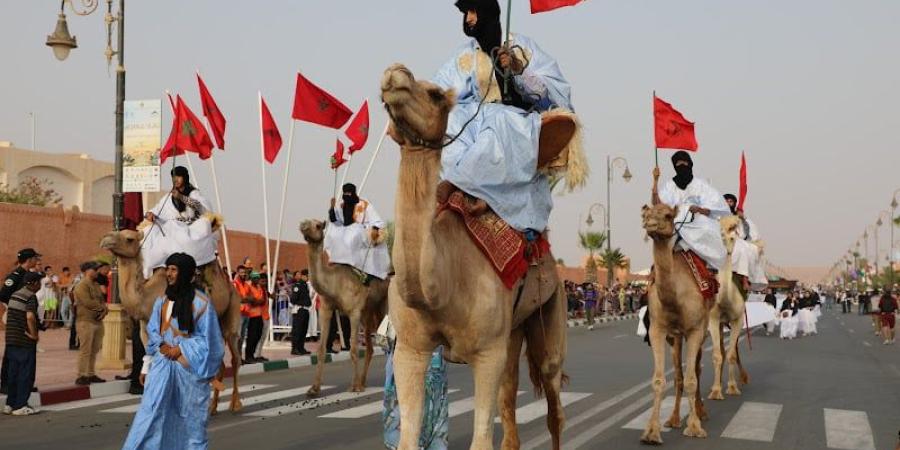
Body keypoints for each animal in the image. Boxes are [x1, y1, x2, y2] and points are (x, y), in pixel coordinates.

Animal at [99, 229, 243, 414]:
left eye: (129, 239)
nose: (105, 239)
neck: (146, 298)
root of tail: (232, 286)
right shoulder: (145, 327)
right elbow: (152, 357)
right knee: (219, 362)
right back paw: (212, 407)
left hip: (232, 311)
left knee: (235, 357)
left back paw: (235, 404)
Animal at [300, 220, 388, 396]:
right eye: (306, 222)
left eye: (318, 225)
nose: (303, 226)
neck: (334, 284)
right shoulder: (326, 309)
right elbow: (321, 349)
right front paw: (314, 388)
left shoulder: (354, 312)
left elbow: (353, 348)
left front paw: (354, 387)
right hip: (368, 313)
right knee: (370, 348)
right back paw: (363, 382)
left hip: (384, 305)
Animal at [378, 64, 568, 450]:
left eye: (435, 94)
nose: (395, 73)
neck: (445, 282)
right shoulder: (410, 349)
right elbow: (408, 436)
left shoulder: (486, 353)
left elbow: (481, 439)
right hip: (512, 330)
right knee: (509, 399)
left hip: (552, 309)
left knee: (553, 401)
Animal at [640, 202, 712, 444]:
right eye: (645, 213)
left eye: (668, 215)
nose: (649, 223)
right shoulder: (658, 330)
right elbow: (660, 380)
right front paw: (651, 432)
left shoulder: (695, 329)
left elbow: (692, 379)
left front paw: (695, 428)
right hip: (676, 338)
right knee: (679, 376)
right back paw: (673, 419)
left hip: (702, 329)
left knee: (696, 370)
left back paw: (701, 412)